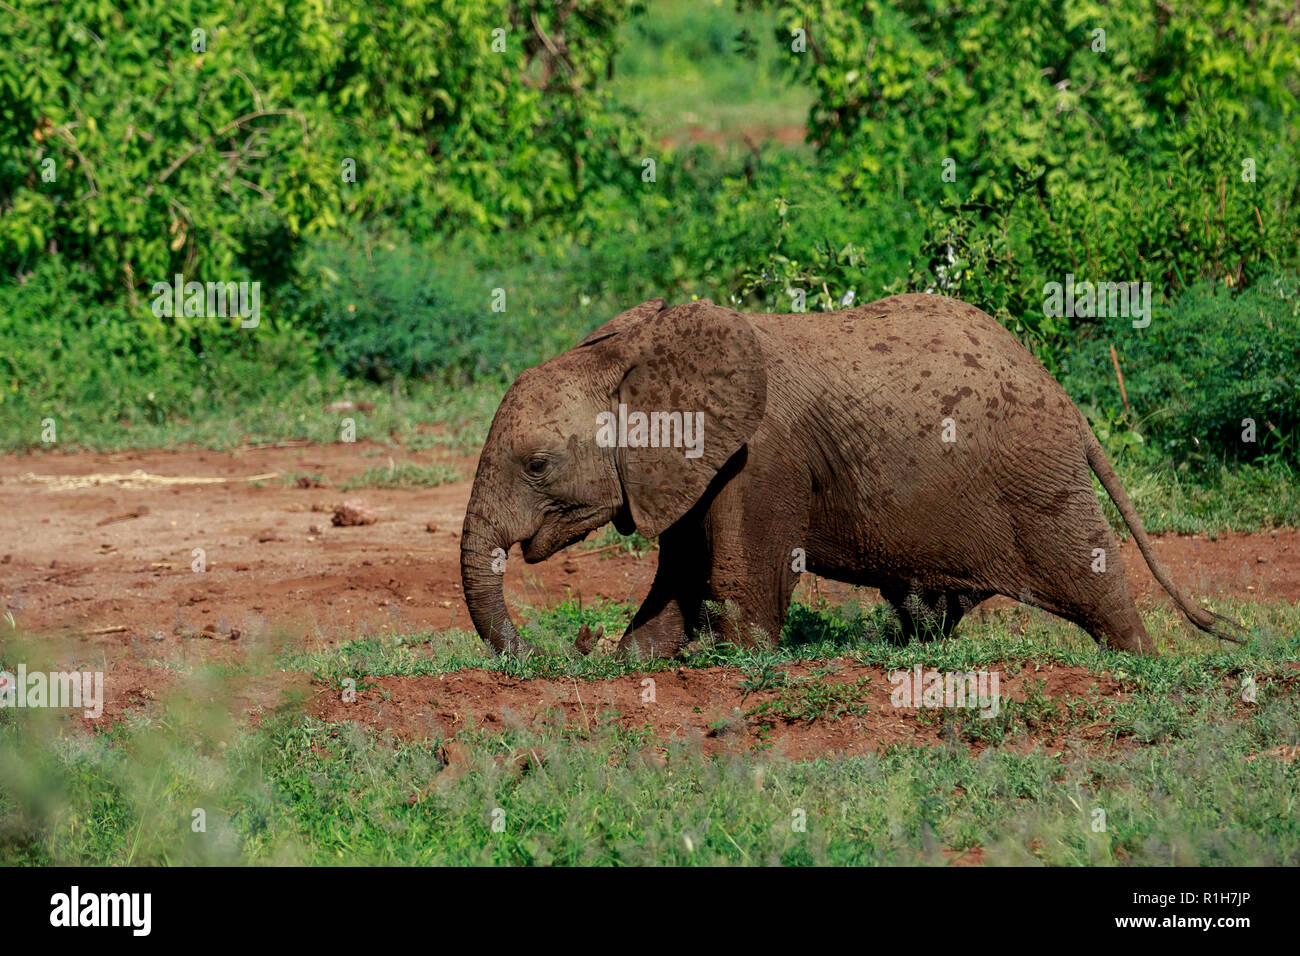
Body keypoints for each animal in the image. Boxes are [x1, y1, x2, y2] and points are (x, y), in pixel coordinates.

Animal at [460, 295, 1237, 660]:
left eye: (538, 465)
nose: (572, 644)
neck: (633, 354)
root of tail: (1066, 399)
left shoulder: (760, 458)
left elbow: (737, 584)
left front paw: (737, 663)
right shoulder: (689, 469)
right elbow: (677, 583)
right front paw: (631, 660)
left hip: (1035, 473)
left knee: (1090, 575)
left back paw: (1140, 666)